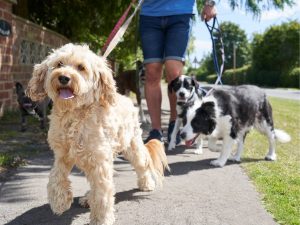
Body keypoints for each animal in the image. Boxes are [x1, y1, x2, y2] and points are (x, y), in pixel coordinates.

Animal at [26, 43, 169, 224]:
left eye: (81, 67)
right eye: (59, 64)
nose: (64, 77)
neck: (74, 115)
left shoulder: (99, 160)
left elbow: (102, 193)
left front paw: (101, 218)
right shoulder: (63, 154)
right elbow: (56, 176)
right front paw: (59, 201)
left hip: (132, 146)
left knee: (142, 164)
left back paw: (146, 183)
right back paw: (88, 198)